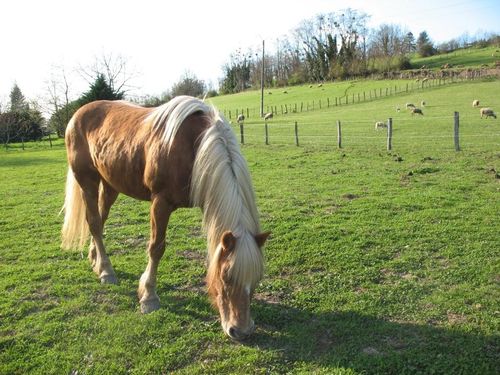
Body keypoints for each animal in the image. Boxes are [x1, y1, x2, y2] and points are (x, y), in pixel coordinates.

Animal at [62, 94, 270, 340]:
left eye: (256, 278)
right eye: (226, 276)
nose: (241, 331)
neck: (193, 145)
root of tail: (77, 115)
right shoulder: (160, 203)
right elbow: (156, 248)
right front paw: (149, 297)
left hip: (111, 185)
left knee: (99, 222)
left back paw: (95, 259)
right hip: (88, 182)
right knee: (94, 223)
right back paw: (106, 271)